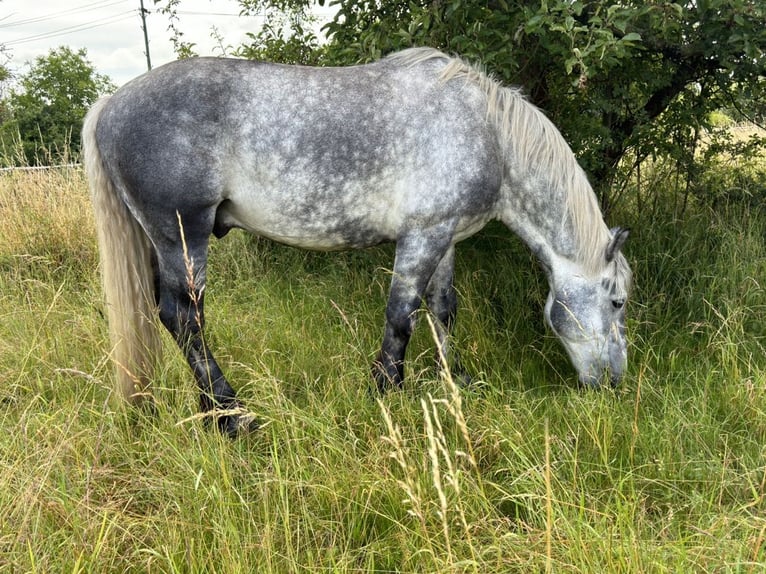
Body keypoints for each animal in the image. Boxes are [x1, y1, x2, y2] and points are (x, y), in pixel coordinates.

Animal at [82, 48, 636, 436]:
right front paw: (386, 390)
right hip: (182, 235)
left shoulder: (445, 236)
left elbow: (443, 310)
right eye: (617, 301)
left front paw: (454, 381)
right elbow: (401, 314)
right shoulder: (422, 236)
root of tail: (111, 104)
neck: (489, 134)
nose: (614, 383)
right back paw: (231, 416)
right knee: (185, 318)